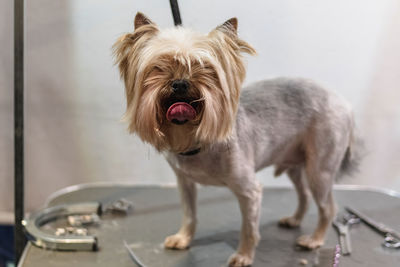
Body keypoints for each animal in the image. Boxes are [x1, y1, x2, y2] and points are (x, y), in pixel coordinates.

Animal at [114, 13, 358, 267]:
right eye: (158, 67)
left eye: (204, 67)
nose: (180, 83)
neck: (195, 139)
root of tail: (345, 104)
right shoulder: (185, 181)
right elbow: (189, 214)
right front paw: (183, 238)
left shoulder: (249, 191)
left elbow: (249, 228)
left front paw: (243, 255)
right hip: (297, 165)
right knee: (304, 194)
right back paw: (294, 220)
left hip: (320, 168)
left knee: (328, 207)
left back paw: (314, 240)